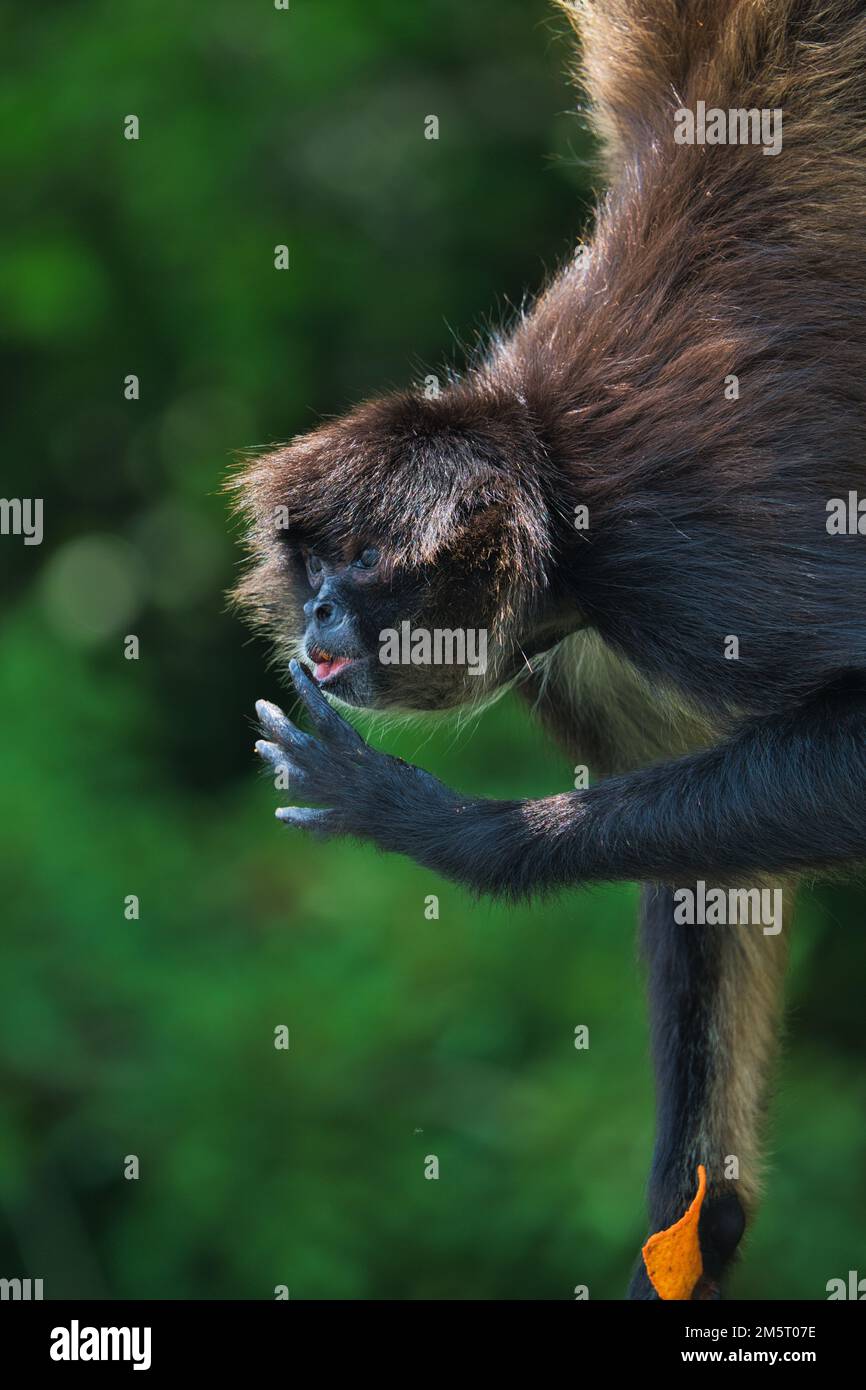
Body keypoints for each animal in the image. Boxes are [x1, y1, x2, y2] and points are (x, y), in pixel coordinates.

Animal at [229, 2, 866, 1301]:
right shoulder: (580, 647)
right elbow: (711, 882)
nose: (318, 620)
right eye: (311, 575)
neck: (557, 494)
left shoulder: (681, 566)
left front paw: (442, 828)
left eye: (355, 570)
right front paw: (693, 1229)